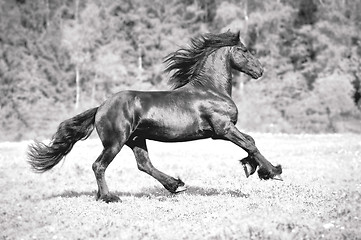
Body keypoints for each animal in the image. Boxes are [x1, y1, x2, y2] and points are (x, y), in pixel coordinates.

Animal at [28, 30, 282, 202]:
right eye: (244, 51)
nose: (260, 71)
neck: (210, 89)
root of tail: (101, 107)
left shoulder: (222, 131)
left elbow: (249, 143)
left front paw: (251, 167)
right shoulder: (223, 128)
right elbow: (250, 143)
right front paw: (271, 172)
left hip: (136, 139)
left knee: (144, 164)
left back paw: (175, 185)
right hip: (115, 142)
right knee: (99, 165)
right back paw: (109, 197)